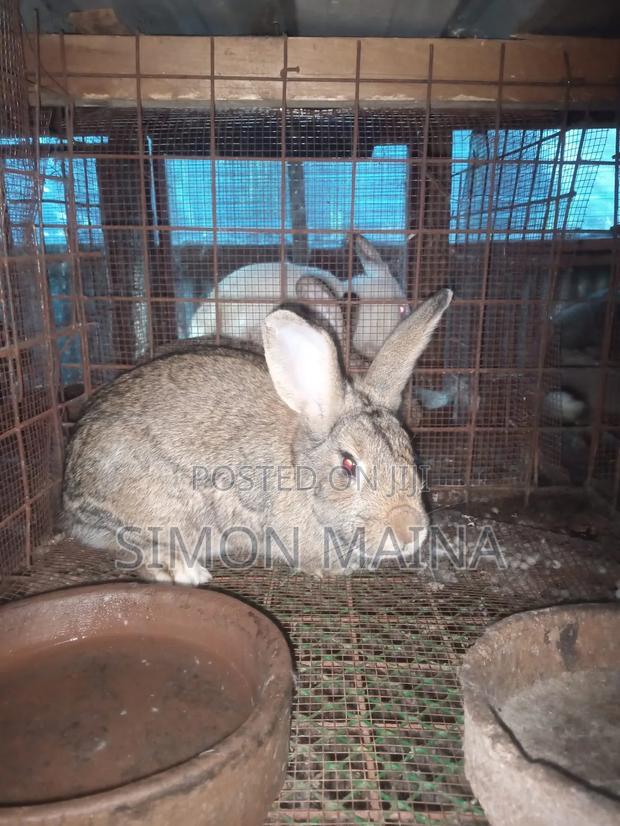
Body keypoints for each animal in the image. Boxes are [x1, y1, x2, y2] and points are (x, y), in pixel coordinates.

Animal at [62, 288, 452, 585]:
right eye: (347, 465)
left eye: (411, 453)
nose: (410, 531)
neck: (300, 469)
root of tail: (70, 499)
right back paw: (187, 572)